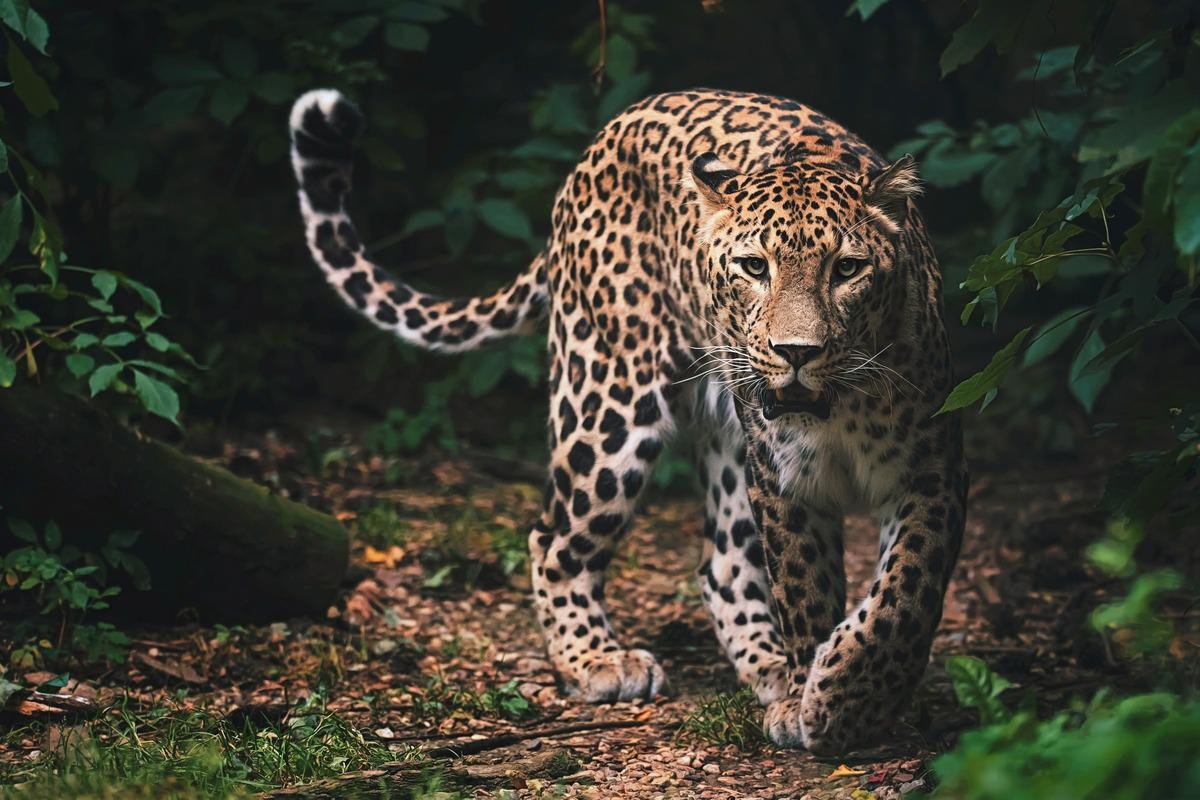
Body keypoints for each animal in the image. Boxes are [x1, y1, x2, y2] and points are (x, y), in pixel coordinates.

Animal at [289, 87, 967, 754]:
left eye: (847, 269)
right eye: (754, 267)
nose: (796, 352)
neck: (839, 409)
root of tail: (603, 138)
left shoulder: (932, 470)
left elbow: (905, 593)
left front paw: (848, 696)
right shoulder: (783, 481)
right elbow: (805, 592)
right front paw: (823, 703)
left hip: (723, 439)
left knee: (721, 563)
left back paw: (769, 672)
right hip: (607, 403)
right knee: (553, 538)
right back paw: (599, 661)